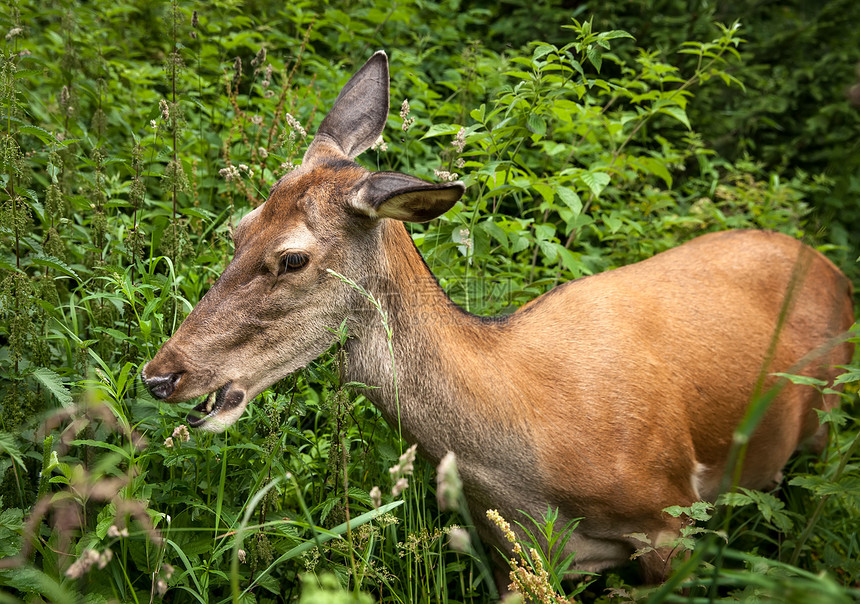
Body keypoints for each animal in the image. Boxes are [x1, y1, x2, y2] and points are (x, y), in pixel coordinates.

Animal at [141, 52, 852, 584]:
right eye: (237, 230)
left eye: (292, 258)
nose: (160, 375)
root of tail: (831, 266)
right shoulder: (522, 557)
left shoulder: (670, 518)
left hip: (826, 422)